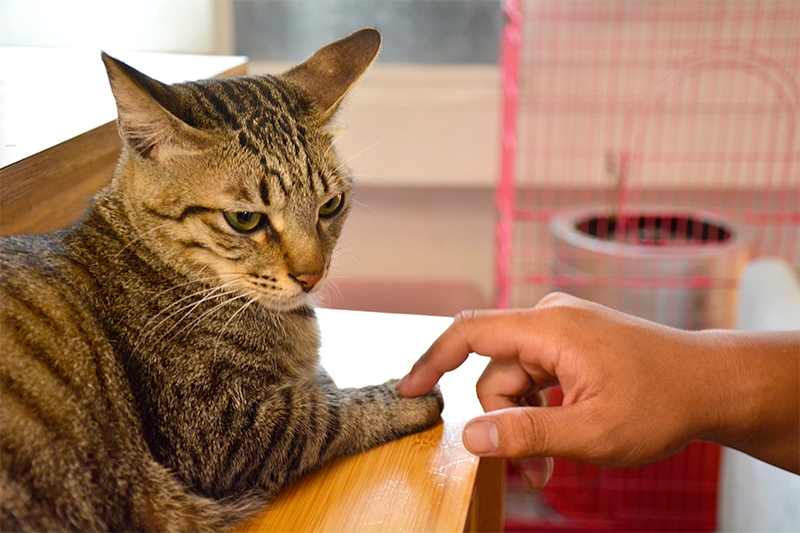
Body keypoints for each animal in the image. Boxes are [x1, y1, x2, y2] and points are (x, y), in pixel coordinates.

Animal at [0, 30, 444, 532]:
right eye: (245, 219)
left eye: (331, 205)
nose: (311, 276)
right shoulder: (216, 431)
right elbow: (324, 413)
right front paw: (402, 395)